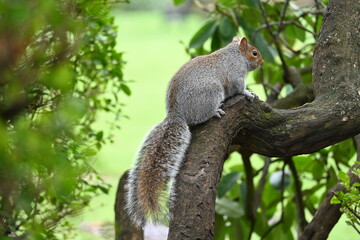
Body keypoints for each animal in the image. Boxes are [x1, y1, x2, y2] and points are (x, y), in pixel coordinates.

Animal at [125, 36, 262, 227]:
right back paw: (215, 111)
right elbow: (239, 88)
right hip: (211, 93)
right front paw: (248, 93)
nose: (262, 63)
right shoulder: (235, 73)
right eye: (254, 53)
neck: (234, 53)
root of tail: (177, 114)